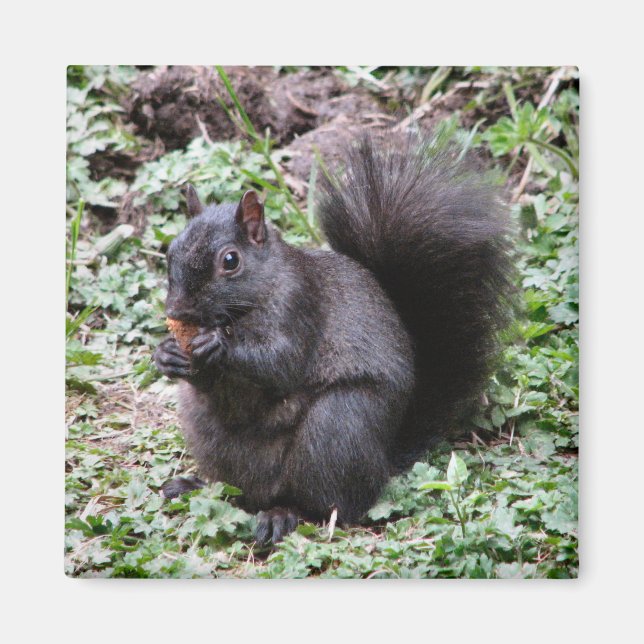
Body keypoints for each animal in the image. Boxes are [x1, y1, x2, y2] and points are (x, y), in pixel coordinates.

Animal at [153, 133, 514, 544]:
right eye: (170, 251)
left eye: (230, 261)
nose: (177, 310)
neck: (250, 303)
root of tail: (383, 459)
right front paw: (167, 354)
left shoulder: (300, 304)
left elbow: (281, 364)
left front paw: (219, 343)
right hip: (208, 433)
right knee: (239, 492)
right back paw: (196, 486)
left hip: (336, 427)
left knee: (331, 505)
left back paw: (284, 514)